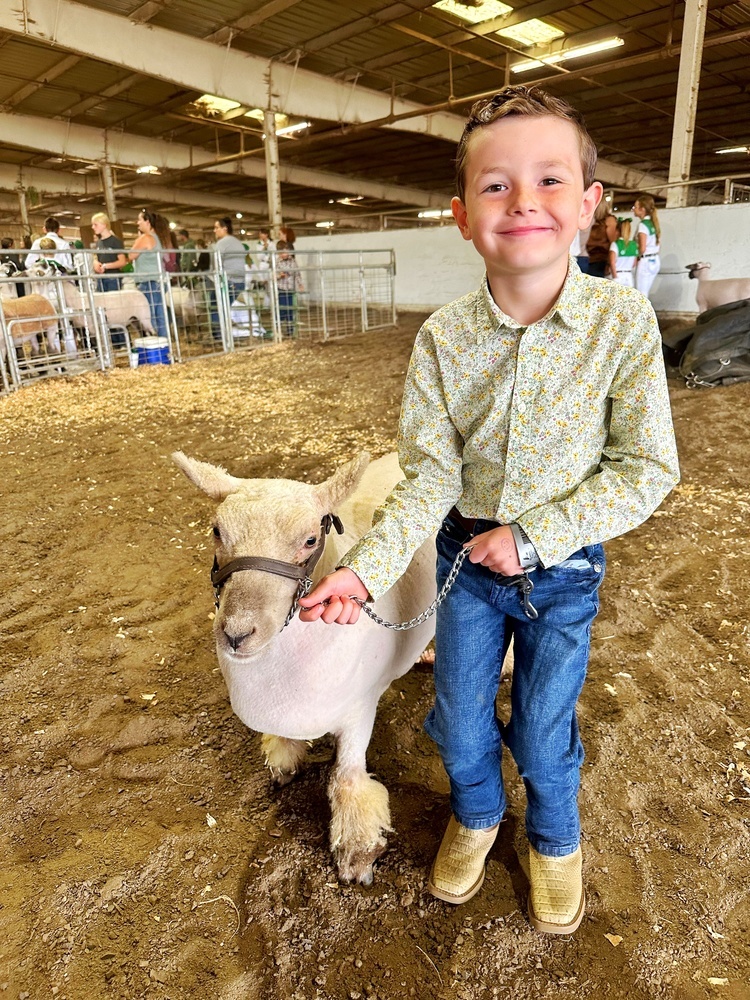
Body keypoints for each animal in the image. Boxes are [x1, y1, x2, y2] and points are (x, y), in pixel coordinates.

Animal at [173, 452, 438, 884]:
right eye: (216, 531)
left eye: (311, 539)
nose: (236, 634)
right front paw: (284, 760)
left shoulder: (360, 708)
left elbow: (347, 781)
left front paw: (356, 855)